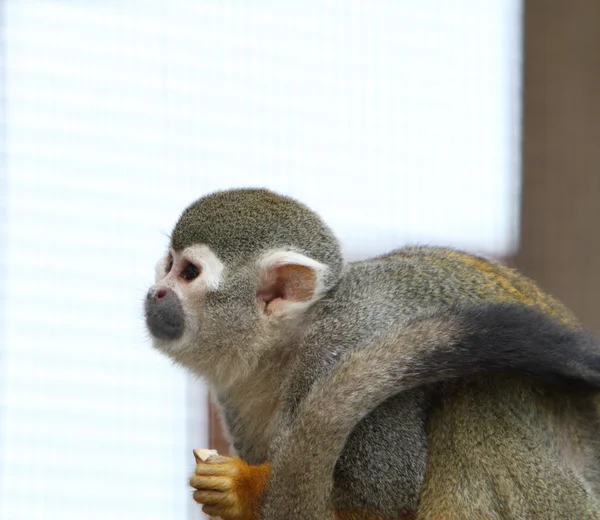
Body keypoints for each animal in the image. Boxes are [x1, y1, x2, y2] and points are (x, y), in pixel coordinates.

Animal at [145, 188, 600, 520]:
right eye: (167, 265)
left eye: (189, 273)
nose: (156, 293)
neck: (288, 345)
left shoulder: (349, 342)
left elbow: (382, 498)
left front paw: (242, 490)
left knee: (475, 407)